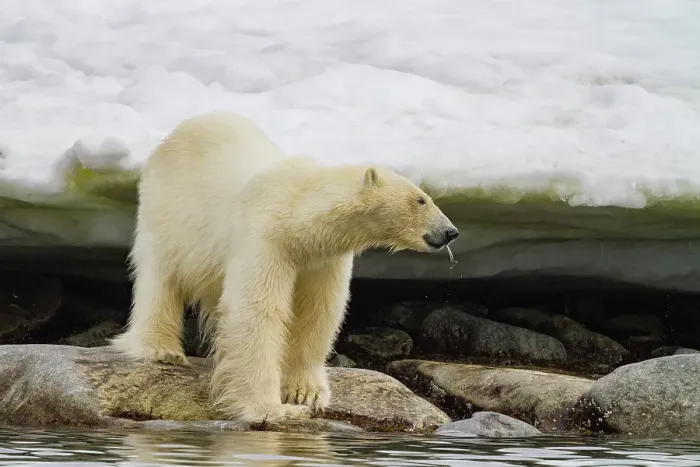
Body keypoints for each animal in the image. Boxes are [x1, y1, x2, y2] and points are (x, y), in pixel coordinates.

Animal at [110, 110, 459, 423]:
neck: (297, 213)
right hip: (168, 212)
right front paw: (271, 409)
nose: (450, 232)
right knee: (160, 276)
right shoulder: (264, 238)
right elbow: (258, 312)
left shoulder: (322, 258)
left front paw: (305, 393)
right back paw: (161, 348)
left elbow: (317, 312)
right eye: (421, 199)